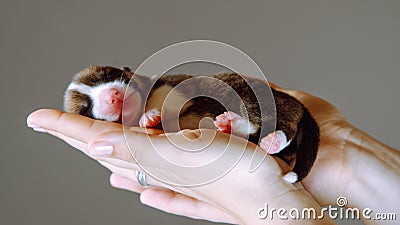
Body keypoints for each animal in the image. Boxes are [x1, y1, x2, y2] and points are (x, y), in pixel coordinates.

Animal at [63, 65, 318, 183]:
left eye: (107, 74)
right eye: (85, 109)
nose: (114, 96)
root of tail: (302, 107)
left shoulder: (175, 85)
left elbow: (170, 98)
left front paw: (151, 115)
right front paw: (149, 119)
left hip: (251, 98)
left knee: (280, 125)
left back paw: (269, 138)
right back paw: (231, 126)